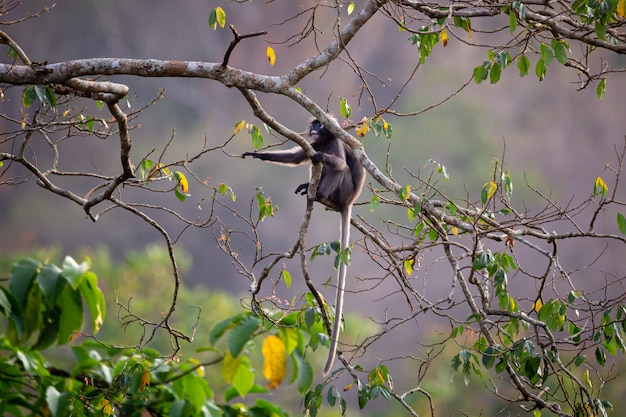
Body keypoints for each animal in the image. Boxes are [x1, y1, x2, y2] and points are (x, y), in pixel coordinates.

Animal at [240, 118, 366, 376]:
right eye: (315, 124)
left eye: (321, 125)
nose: (316, 129)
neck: (325, 141)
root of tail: (349, 201)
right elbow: (296, 157)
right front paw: (258, 154)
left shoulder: (334, 143)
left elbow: (337, 162)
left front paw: (320, 156)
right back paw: (311, 188)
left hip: (344, 190)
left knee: (339, 169)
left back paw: (318, 192)